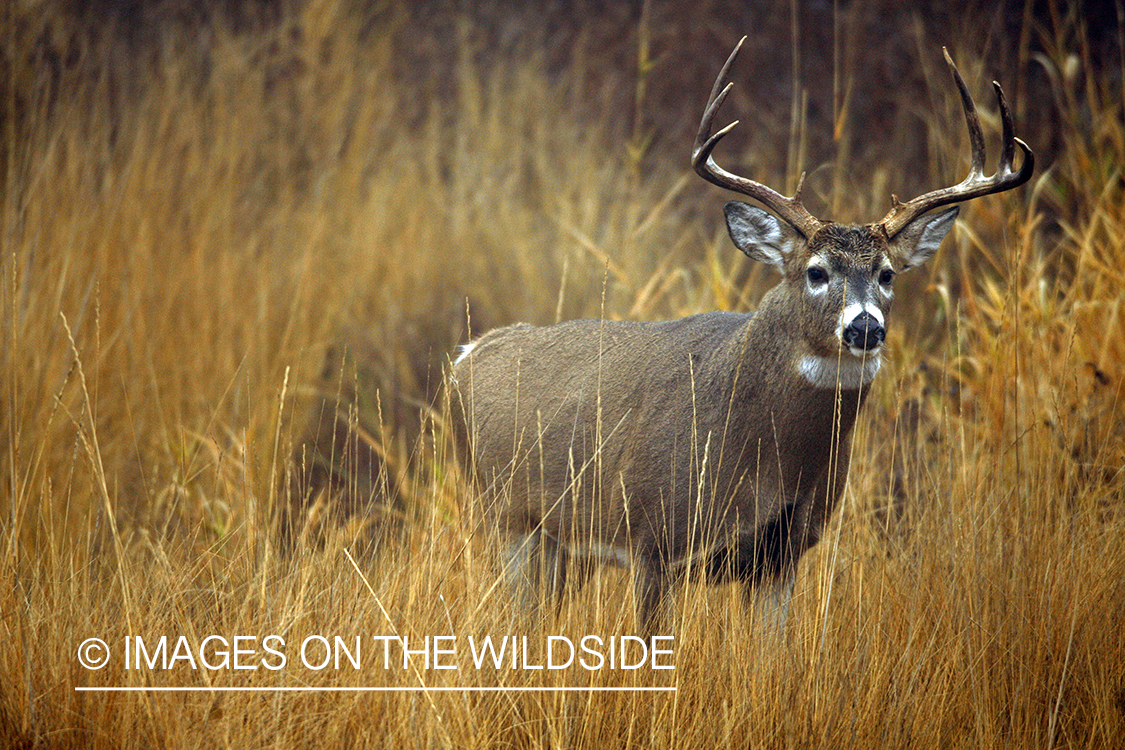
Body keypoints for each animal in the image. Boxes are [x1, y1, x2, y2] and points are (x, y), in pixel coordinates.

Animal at [447, 38, 1030, 629]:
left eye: (887, 274)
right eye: (816, 272)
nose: (864, 325)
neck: (766, 452)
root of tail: (469, 353)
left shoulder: (783, 556)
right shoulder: (655, 536)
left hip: (561, 547)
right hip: (510, 519)